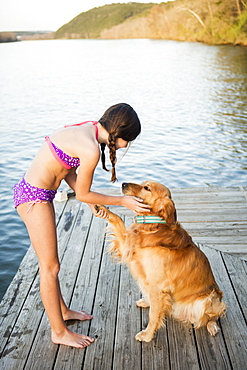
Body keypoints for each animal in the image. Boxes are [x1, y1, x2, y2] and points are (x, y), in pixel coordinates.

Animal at [95, 181, 227, 342]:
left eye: (147, 188)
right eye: (143, 184)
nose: (123, 183)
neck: (152, 226)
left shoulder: (158, 286)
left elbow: (154, 315)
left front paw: (147, 335)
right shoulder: (128, 246)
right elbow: (118, 219)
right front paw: (101, 207)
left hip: (209, 298)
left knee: (212, 316)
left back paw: (212, 326)